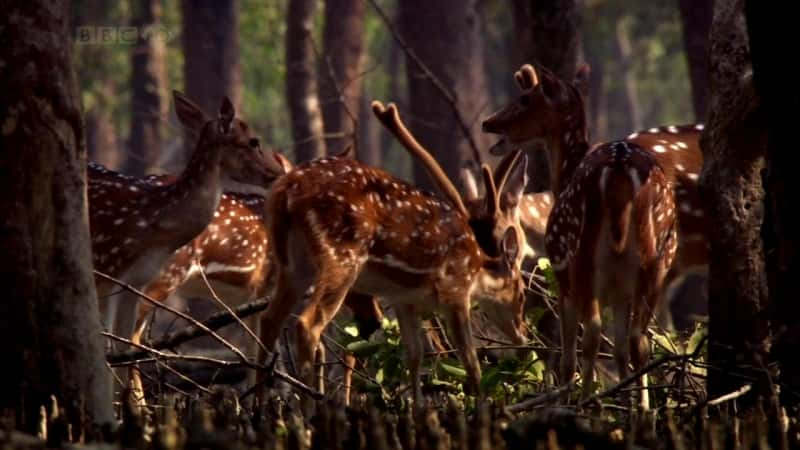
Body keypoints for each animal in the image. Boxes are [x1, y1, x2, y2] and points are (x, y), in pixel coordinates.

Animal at [256, 103, 528, 408]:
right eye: (522, 294)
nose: (524, 336)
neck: (477, 268)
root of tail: (286, 188)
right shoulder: (455, 292)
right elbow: (470, 360)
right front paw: (482, 405)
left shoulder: (403, 299)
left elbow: (415, 354)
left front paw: (419, 409)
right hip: (340, 254)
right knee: (307, 324)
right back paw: (310, 407)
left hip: (292, 261)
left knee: (269, 319)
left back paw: (260, 406)